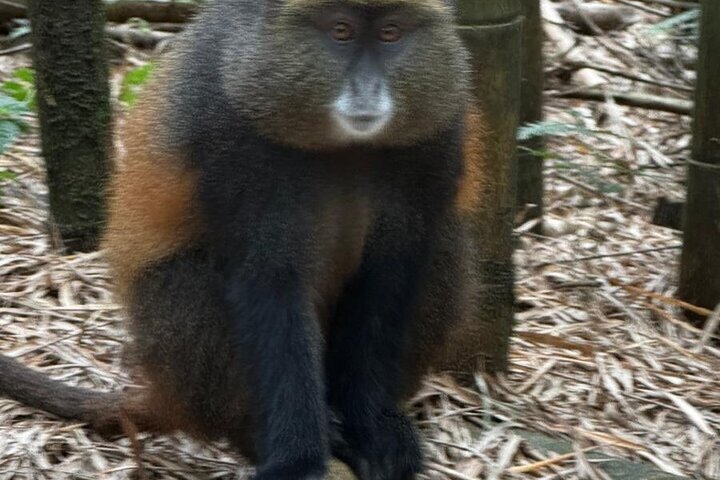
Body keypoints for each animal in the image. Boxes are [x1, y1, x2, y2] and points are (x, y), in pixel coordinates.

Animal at [0, 0, 491, 478]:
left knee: (444, 246)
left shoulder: (439, 133)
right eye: (341, 31)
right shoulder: (229, 136)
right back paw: (257, 436)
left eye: (391, 33)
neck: (340, 145)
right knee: (188, 279)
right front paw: (298, 460)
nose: (367, 89)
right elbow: (269, 284)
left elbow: (389, 277)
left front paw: (374, 431)